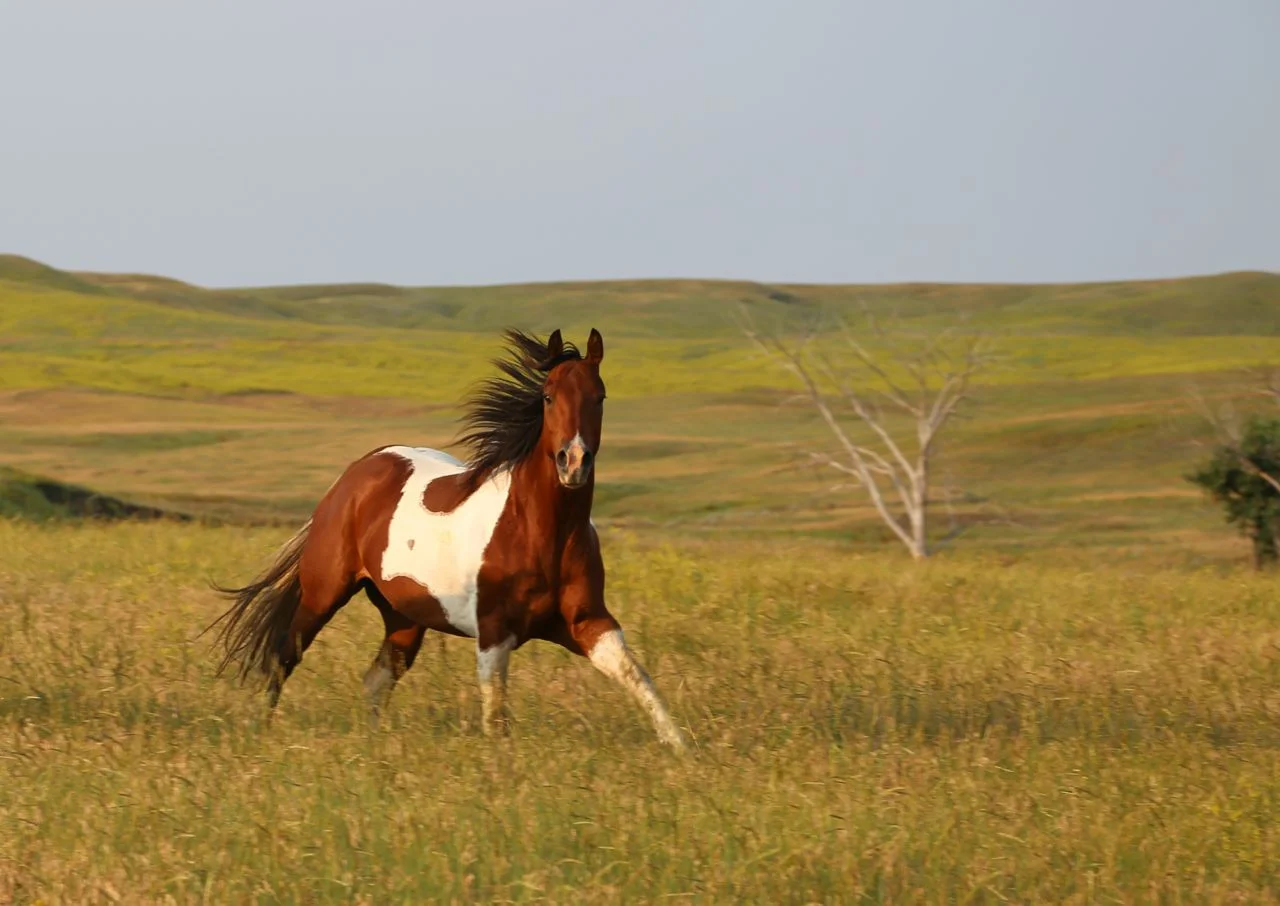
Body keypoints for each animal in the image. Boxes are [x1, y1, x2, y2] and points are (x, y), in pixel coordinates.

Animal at [208, 328, 686, 749]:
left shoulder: (588, 623)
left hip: (404, 617)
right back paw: (260, 730)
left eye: (599, 397)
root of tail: (355, 474)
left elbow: (638, 677)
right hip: (324, 592)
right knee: (284, 655)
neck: (540, 533)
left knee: (376, 680)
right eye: (548, 397)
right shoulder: (493, 632)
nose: (574, 462)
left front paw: (682, 750)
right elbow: (496, 715)